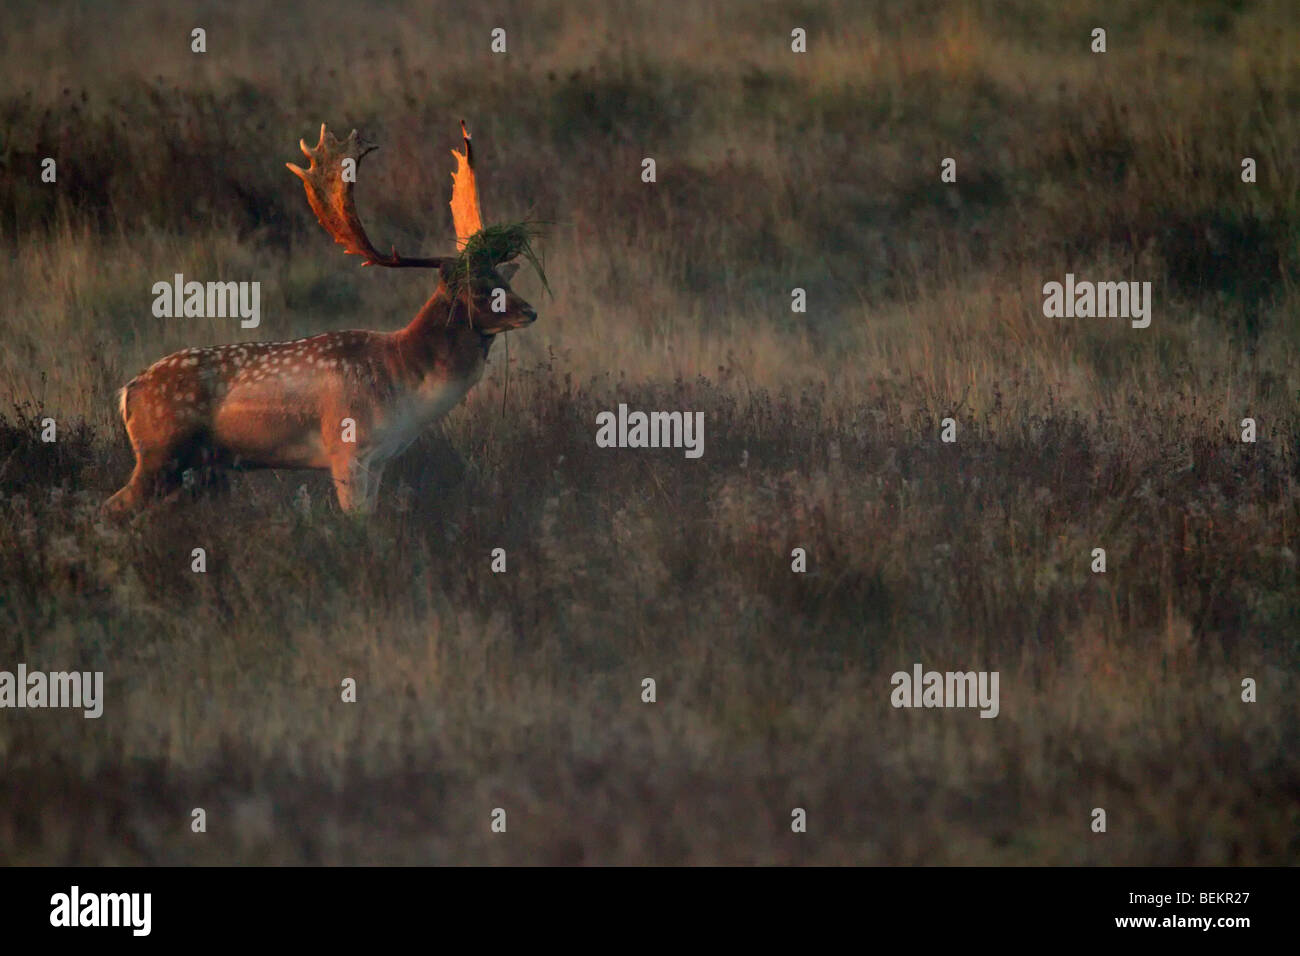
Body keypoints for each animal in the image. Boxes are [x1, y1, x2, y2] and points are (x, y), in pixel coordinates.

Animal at [100, 125, 538, 522]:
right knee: (110, 507)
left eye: (502, 279)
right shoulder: (347, 449)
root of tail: (128, 392)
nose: (530, 311)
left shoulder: (379, 460)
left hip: (193, 468)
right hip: (160, 453)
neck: (403, 377)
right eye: (479, 289)